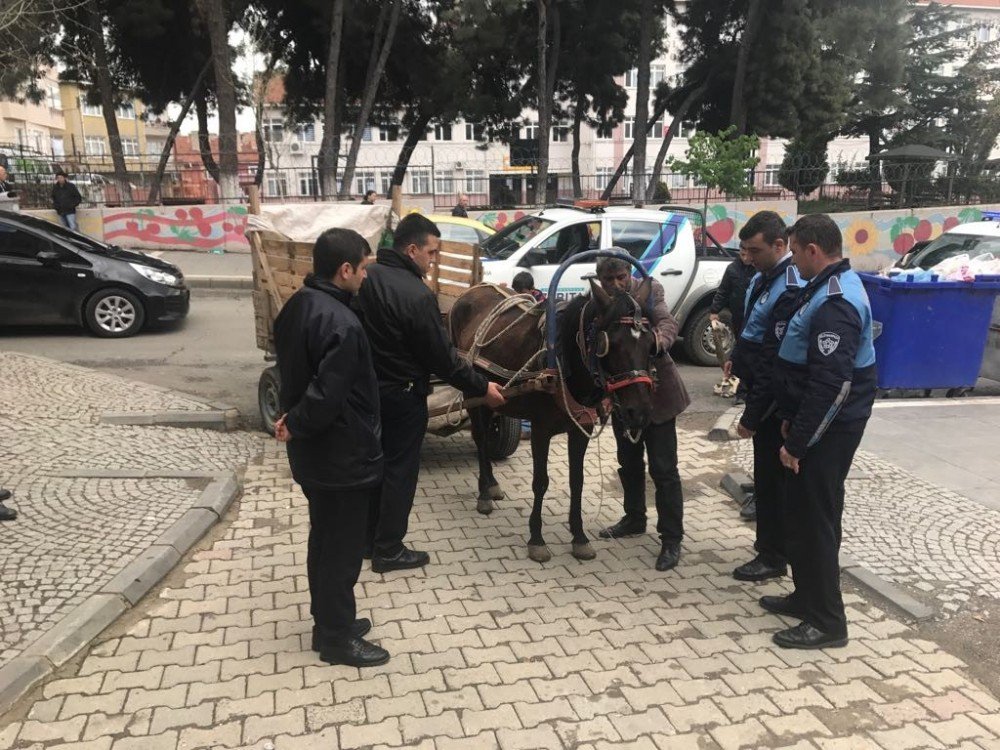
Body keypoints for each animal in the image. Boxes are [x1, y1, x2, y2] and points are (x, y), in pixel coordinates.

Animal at [450, 278, 660, 564]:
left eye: (652, 345)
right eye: (611, 344)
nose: (639, 412)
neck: (564, 361)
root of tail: (473, 289)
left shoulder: (581, 428)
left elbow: (577, 481)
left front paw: (579, 537)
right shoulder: (541, 430)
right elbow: (540, 482)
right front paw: (536, 539)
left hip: (495, 396)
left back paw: (492, 485)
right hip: (473, 391)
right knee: (480, 439)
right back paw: (484, 494)